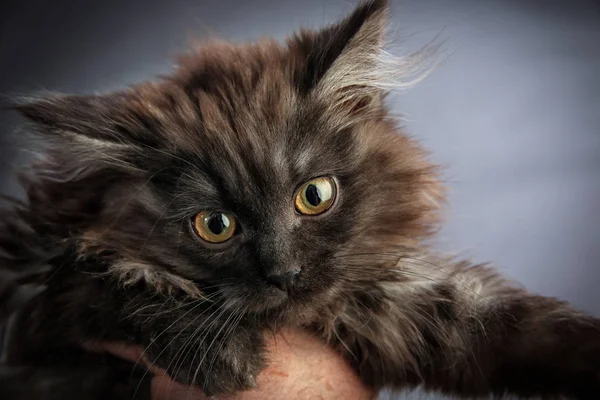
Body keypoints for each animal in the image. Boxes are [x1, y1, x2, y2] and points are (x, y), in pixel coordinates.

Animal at [1, 0, 600, 400]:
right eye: (215, 225)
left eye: (314, 195)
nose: (283, 273)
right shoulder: (37, 289)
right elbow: (103, 276)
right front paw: (221, 353)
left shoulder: (390, 308)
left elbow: (513, 325)